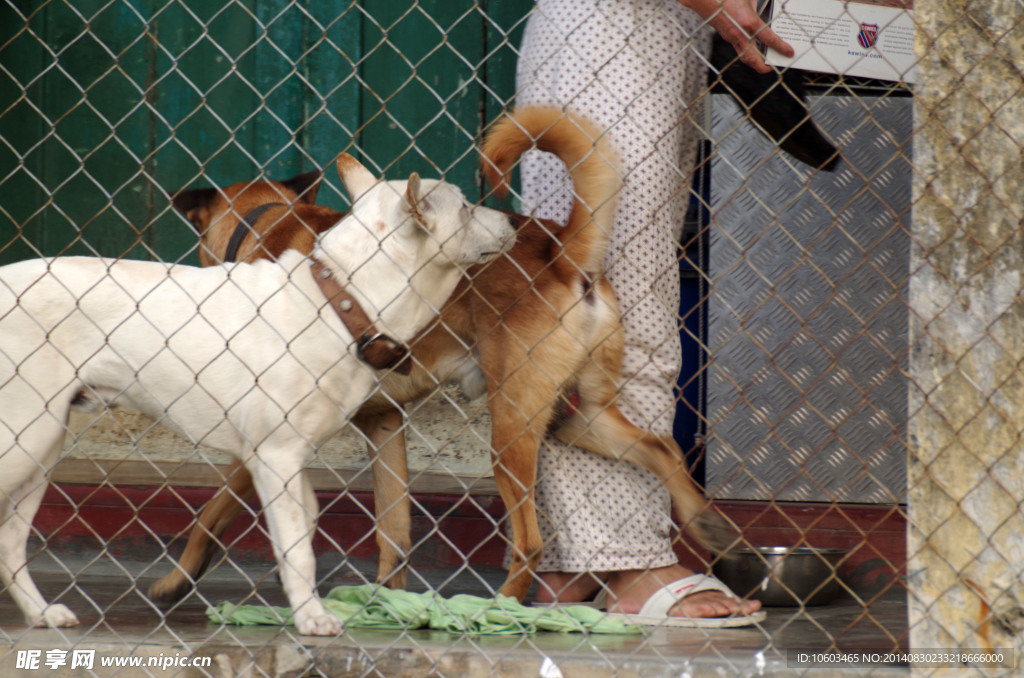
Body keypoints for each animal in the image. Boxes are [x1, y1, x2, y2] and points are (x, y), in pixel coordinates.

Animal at [0, 155, 512, 639]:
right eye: (465, 207)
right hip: (25, 439)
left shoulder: (286, 461)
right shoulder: (276, 456)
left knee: (10, 541)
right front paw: (312, 618)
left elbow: (302, 529)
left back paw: (41, 613)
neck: (339, 301)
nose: (514, 219)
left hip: (43, 448)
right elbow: (298, 548)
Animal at [149, 109, 729, 606]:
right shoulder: (384, 424)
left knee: (530, 541)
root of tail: (563, 252)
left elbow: (211, 513)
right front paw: (387, 601)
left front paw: (177, 579)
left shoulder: (268, 440)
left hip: (511, 430)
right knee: (661, 449)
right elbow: (395, 529)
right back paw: (712, 528)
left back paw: (503, 608)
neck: (270, 224)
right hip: (579, 416)